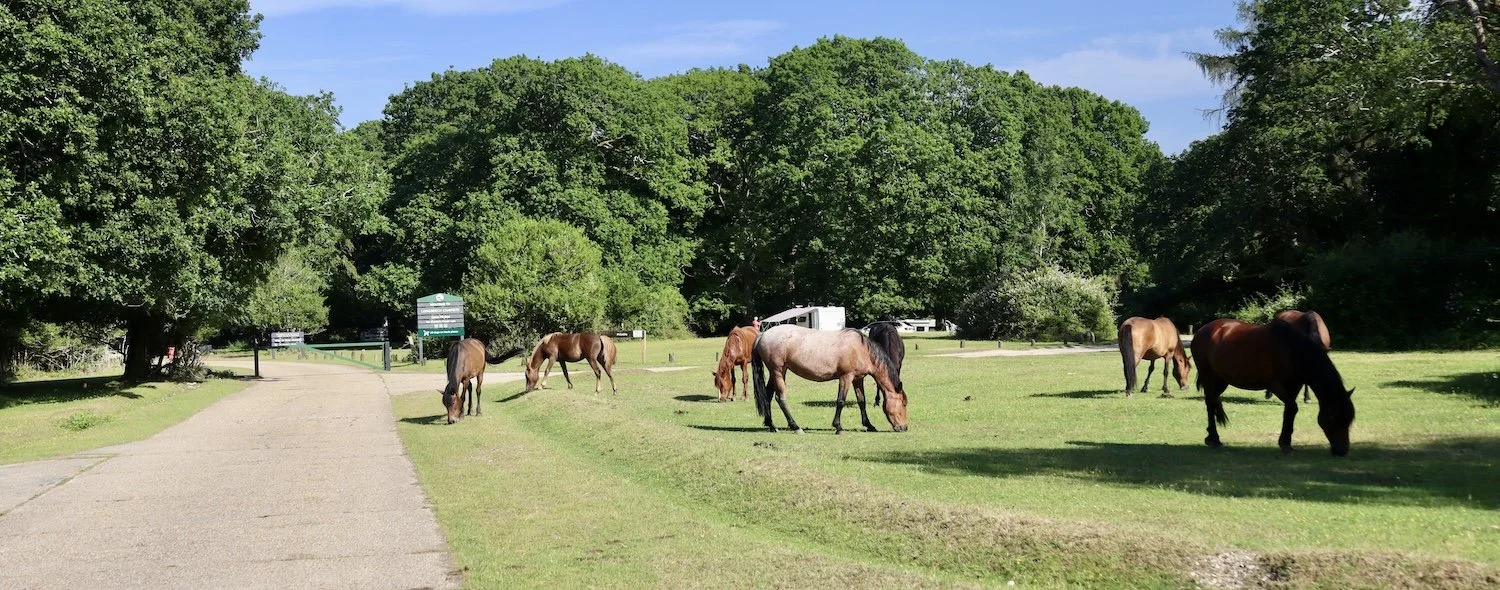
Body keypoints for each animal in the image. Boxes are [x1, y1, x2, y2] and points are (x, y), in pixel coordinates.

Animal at [750, 325, 908, 434]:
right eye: (904, 404)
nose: (904, 427)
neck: (861, 349)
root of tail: (762, 335)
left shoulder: (857, 379)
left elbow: (861, 402)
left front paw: (869, 425)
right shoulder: (846, 377)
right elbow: (840, 401)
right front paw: (838, 427)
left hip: (775, 373)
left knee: (768, 396)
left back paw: (771, 425)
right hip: (778, 371)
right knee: (781, 398)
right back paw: (795, 427)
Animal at [1191, 318, 1355, 456]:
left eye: (1349, 419)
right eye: (1333, 417)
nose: (1342, 451)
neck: (1291, 349)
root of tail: (1202, 331)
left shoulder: (1294, 386)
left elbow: (1289, 411)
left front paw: (1286, 442)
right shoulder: (1275, 385)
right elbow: (1292, 407)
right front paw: (1285, 443)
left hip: (1221, 380)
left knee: (1213, 401)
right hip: (1208, 376)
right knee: (1210, 403)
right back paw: (1214, 439)